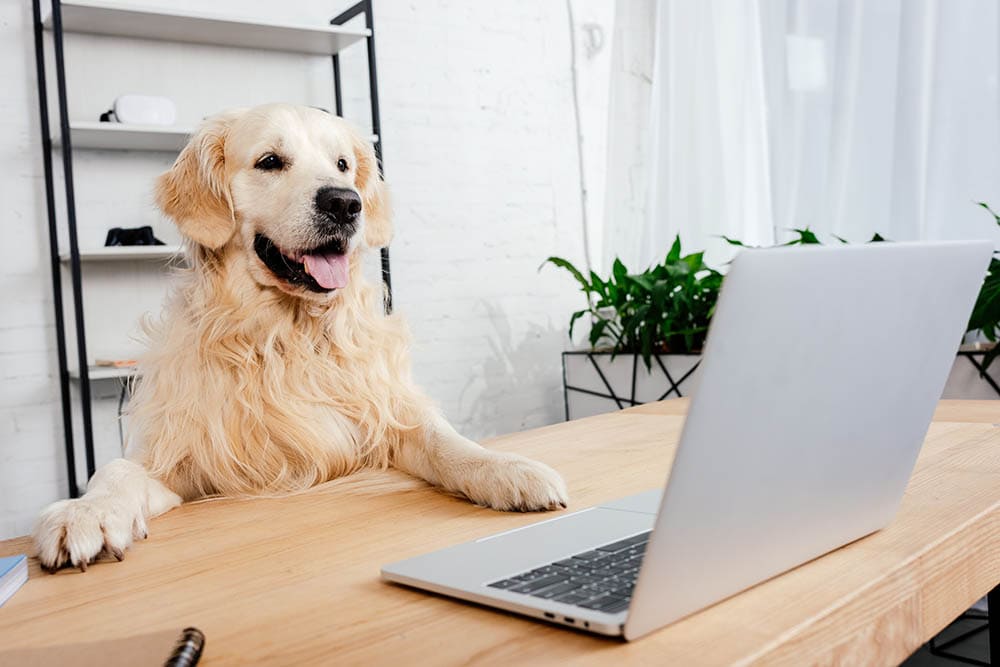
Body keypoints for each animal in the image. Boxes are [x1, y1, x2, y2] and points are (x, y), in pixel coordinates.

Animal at [31, 104, 572, 576]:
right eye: (270, 161)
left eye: (343, 165)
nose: (346, 203)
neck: (287, 335)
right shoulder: (183, 466)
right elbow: (116, 472)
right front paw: (85, 513)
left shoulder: (385, 417)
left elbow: (447, 441)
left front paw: (508, 469)